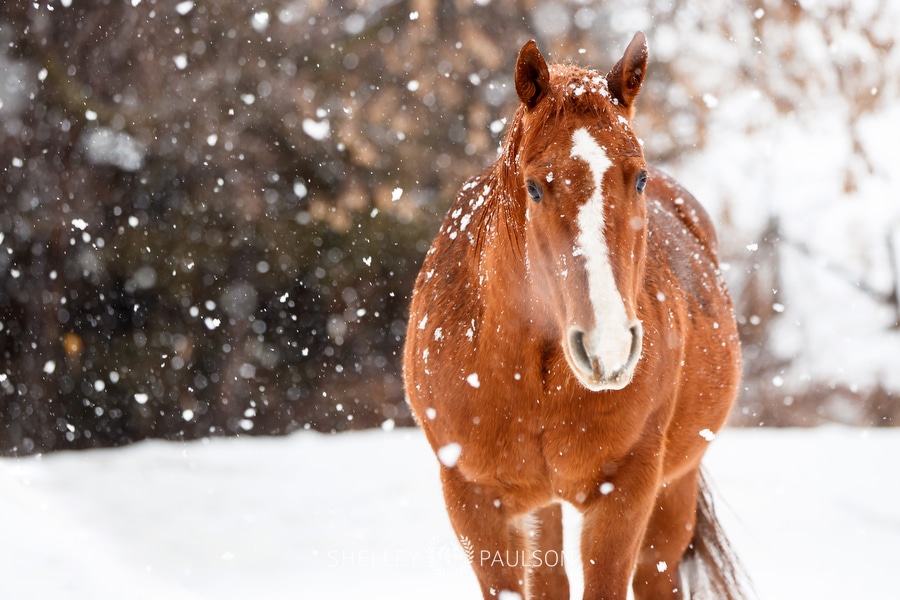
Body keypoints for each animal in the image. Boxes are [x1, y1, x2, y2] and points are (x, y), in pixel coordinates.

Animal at [406, 32, 744, 600]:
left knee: (657, 575)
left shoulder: (625, 491)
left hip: (675, 487)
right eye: (535, 187)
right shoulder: (473, 499)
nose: (609, 347)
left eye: (639, 178)